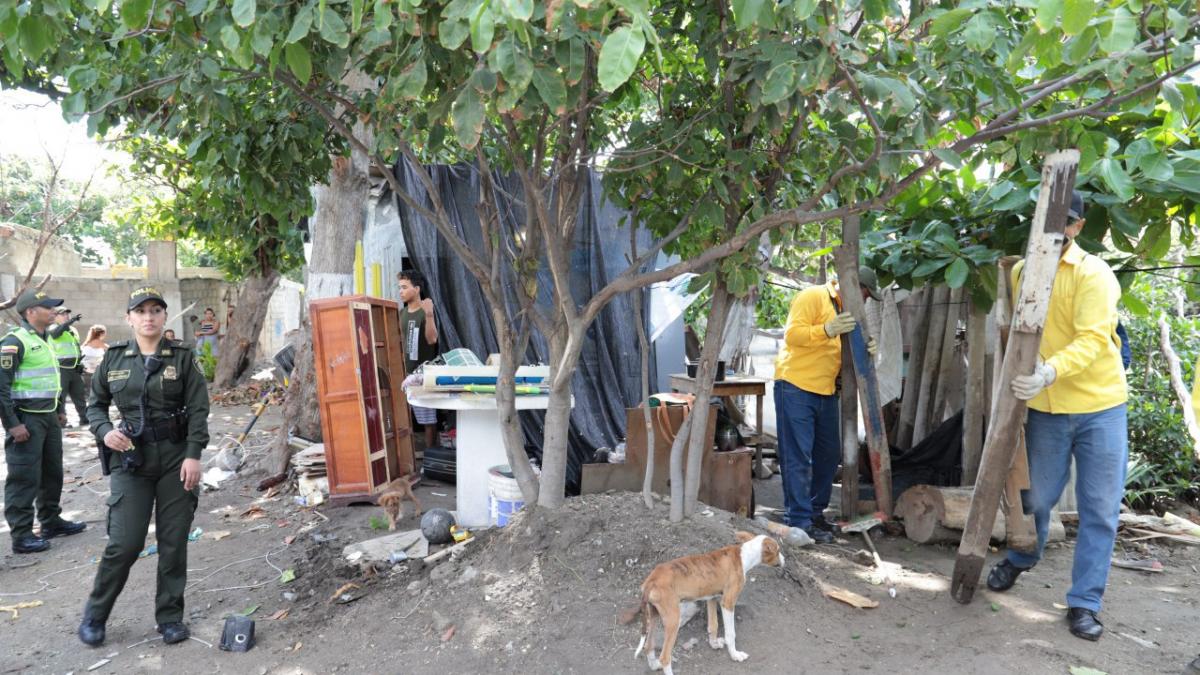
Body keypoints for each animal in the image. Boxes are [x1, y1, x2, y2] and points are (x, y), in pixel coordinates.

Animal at [624, 530, 782, 672]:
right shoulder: (728, 603)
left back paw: (654, 665)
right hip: (673, 620)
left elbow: (713, 625)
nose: (784, 560)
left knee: (648, 646)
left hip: (654, 615)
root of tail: (651, 580)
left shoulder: (712, 598)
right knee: (665, 657)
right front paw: (735, 655)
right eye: (778, 550)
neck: (745, 555)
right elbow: (731, 634)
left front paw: (714, 644)